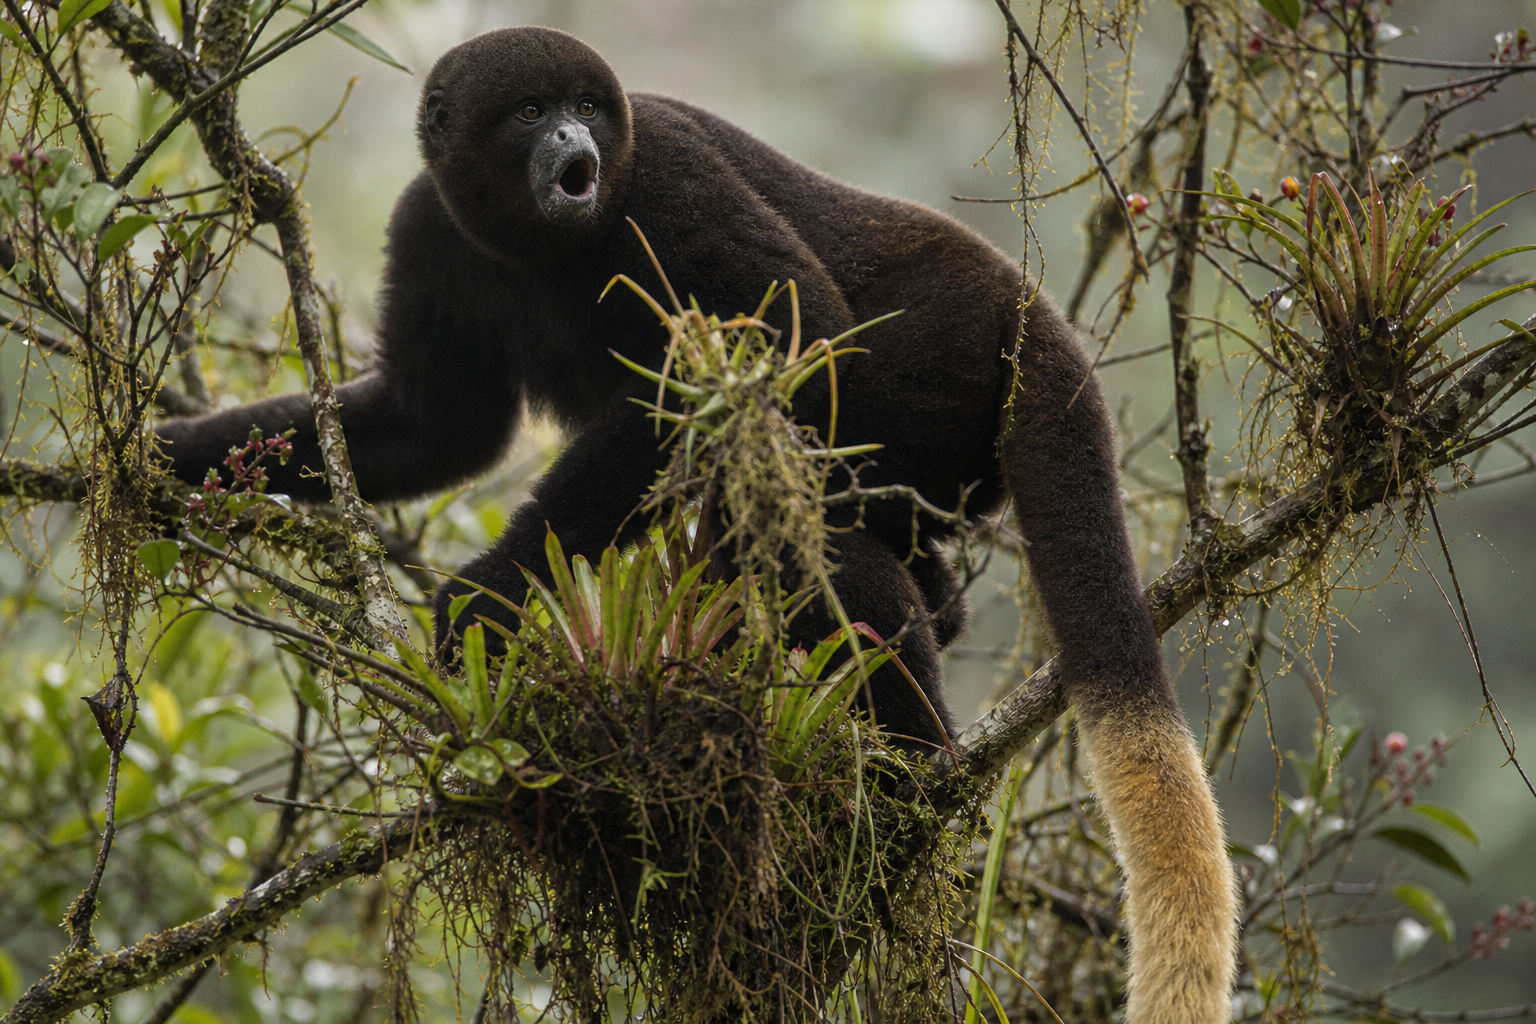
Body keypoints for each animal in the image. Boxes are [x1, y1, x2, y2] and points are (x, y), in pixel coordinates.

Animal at [155, 27, 1236, 1021]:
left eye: (589, 106)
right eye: (529, 112)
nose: (576, 138)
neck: (532, 244)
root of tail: (1031, 316)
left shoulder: (665, 165)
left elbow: (787, 327)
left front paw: (490, 592)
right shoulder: (427, 223)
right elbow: (434, 430)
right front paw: (158, 457)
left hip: (937, 365)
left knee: (783, 507)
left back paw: (911, 776)